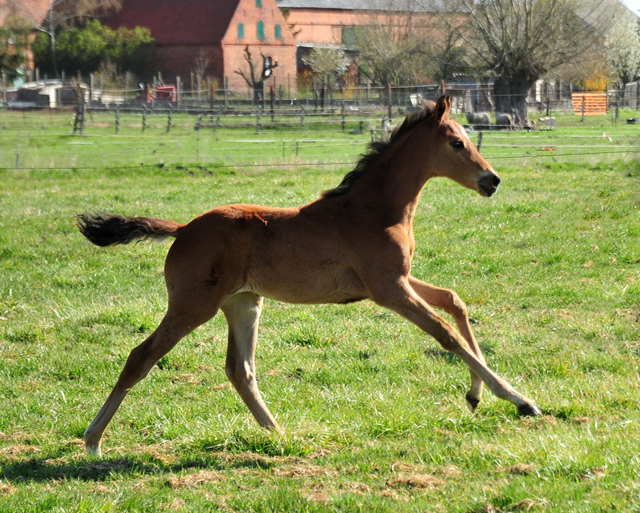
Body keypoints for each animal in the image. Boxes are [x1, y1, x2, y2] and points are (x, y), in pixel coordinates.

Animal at [79, 96, 540, 456]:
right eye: (457, 142)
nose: (492, 180)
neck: (373, 211)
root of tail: (183, 228)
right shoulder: (388, 288)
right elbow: (446, 334)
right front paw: (519, 399)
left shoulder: (396, 280)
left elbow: (454, 301)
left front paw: (476, 395)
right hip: (193, 305)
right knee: (141, 356)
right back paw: (93, 441)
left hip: (244, 303)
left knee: (240, 370)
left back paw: (278, 435)